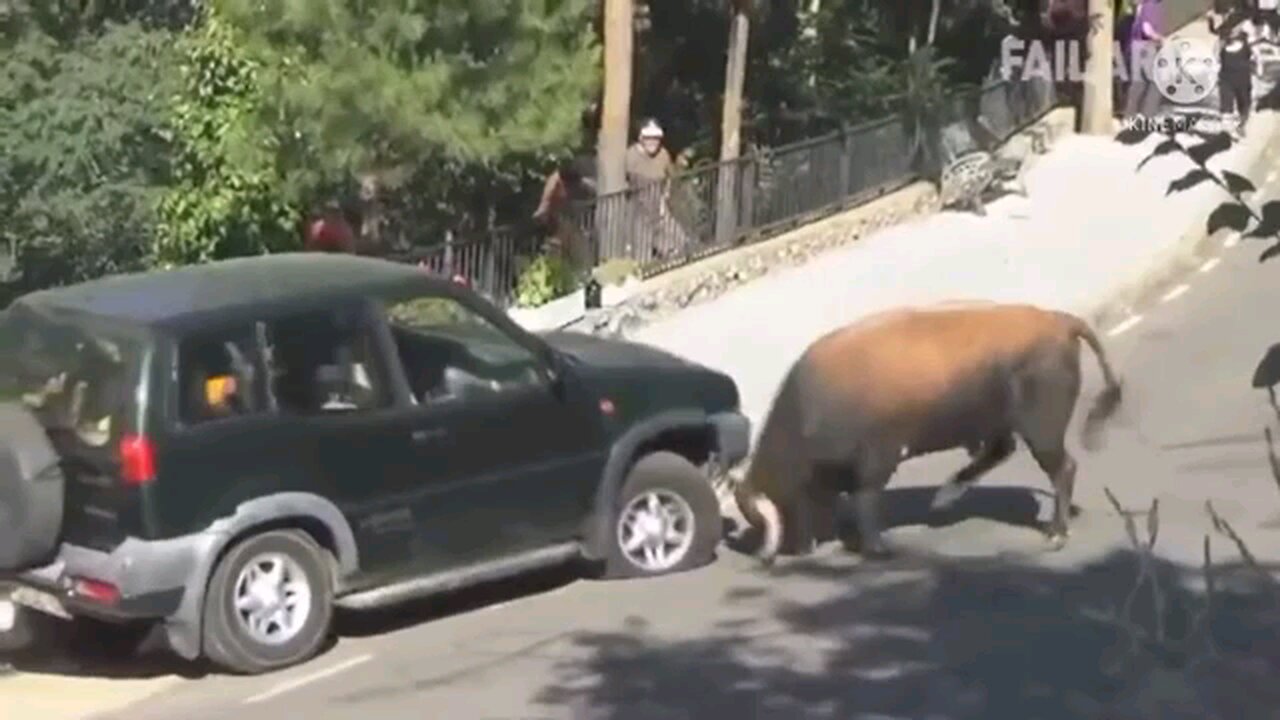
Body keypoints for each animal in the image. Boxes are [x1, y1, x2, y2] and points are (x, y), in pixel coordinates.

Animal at [732, 299, 1121, 563]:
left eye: (777, 498)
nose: (788, 551)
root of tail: (1059, 321)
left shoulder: (879, 457)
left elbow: (866, 497)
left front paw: (877, 547)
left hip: (1042, 429)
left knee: (1062, 468)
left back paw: (1055, 535)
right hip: (999, 423)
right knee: (1001, 450)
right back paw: (945, 496)